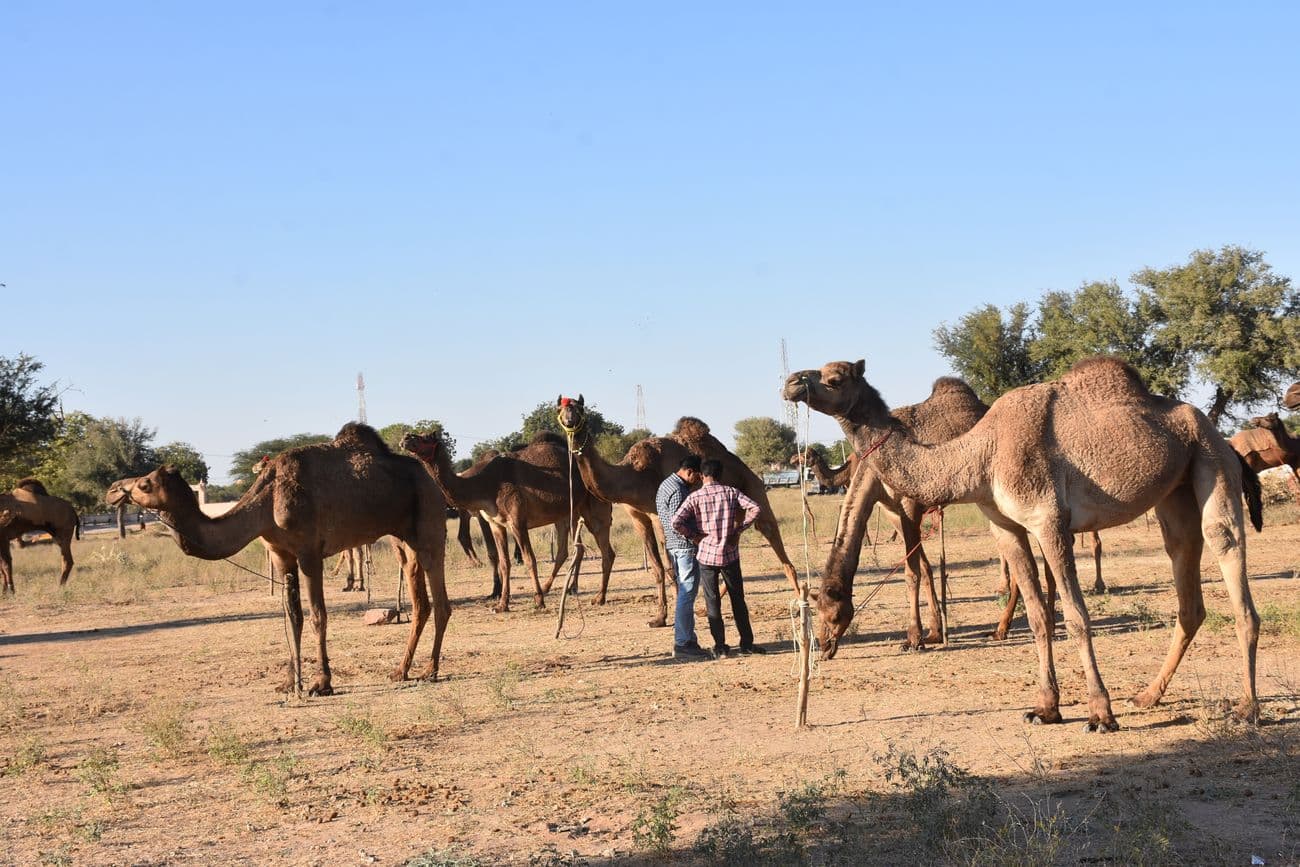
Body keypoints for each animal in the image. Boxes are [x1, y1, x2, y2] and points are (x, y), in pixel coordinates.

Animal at [104, 421, 447, 696]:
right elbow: (291, 616)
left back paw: (430, 671)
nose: (112, 490)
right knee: (421, 601)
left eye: (145, 483)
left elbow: (317, 615)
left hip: (429, 521)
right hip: (401, 540)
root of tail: (429, 476)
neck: (265, 503)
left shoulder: (309, 552)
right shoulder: (281, 556)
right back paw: (401, 671)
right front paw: (290, 682)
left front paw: (321, 683)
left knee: (440, 599)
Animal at [400, 431, 613, 613]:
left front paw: (538, 601)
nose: (405, 438)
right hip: (565, 514)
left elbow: (529, 558)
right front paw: (502, 604)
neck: (484, 484)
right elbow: (504, 562)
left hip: (591, 507)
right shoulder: (496, 524)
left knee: (604, 550)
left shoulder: (517, 520)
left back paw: (596, 597)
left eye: (426, 438)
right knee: (567, 551)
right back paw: (558, 588)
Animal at [559, 397, 800, 626]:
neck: (635, 475)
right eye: (560, 410)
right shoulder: (637, 516)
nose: (570, 421)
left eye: (580, 408)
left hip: (755, 492)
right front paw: (659, 617)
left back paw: (799, 604)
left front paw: (676, 614)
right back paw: (707, 608)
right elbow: (656, 568)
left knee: (773, 539)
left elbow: (669, 567)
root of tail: (750, 471)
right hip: (733, 514)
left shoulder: (659, 513)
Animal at [785, 356, 1263, 727]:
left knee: (1227, 550)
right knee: (1187, 587)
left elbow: (1076, 616)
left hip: (1212, 462)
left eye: (835, 378)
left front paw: (1100, 714)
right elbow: (1036, 616)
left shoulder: (1047, 519)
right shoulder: (1007, 526)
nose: (791, 382)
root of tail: (1221, 435)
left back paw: (1247, 708)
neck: (980, 452)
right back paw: (1147, 696)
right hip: (1173, 495)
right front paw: (1046, 708)